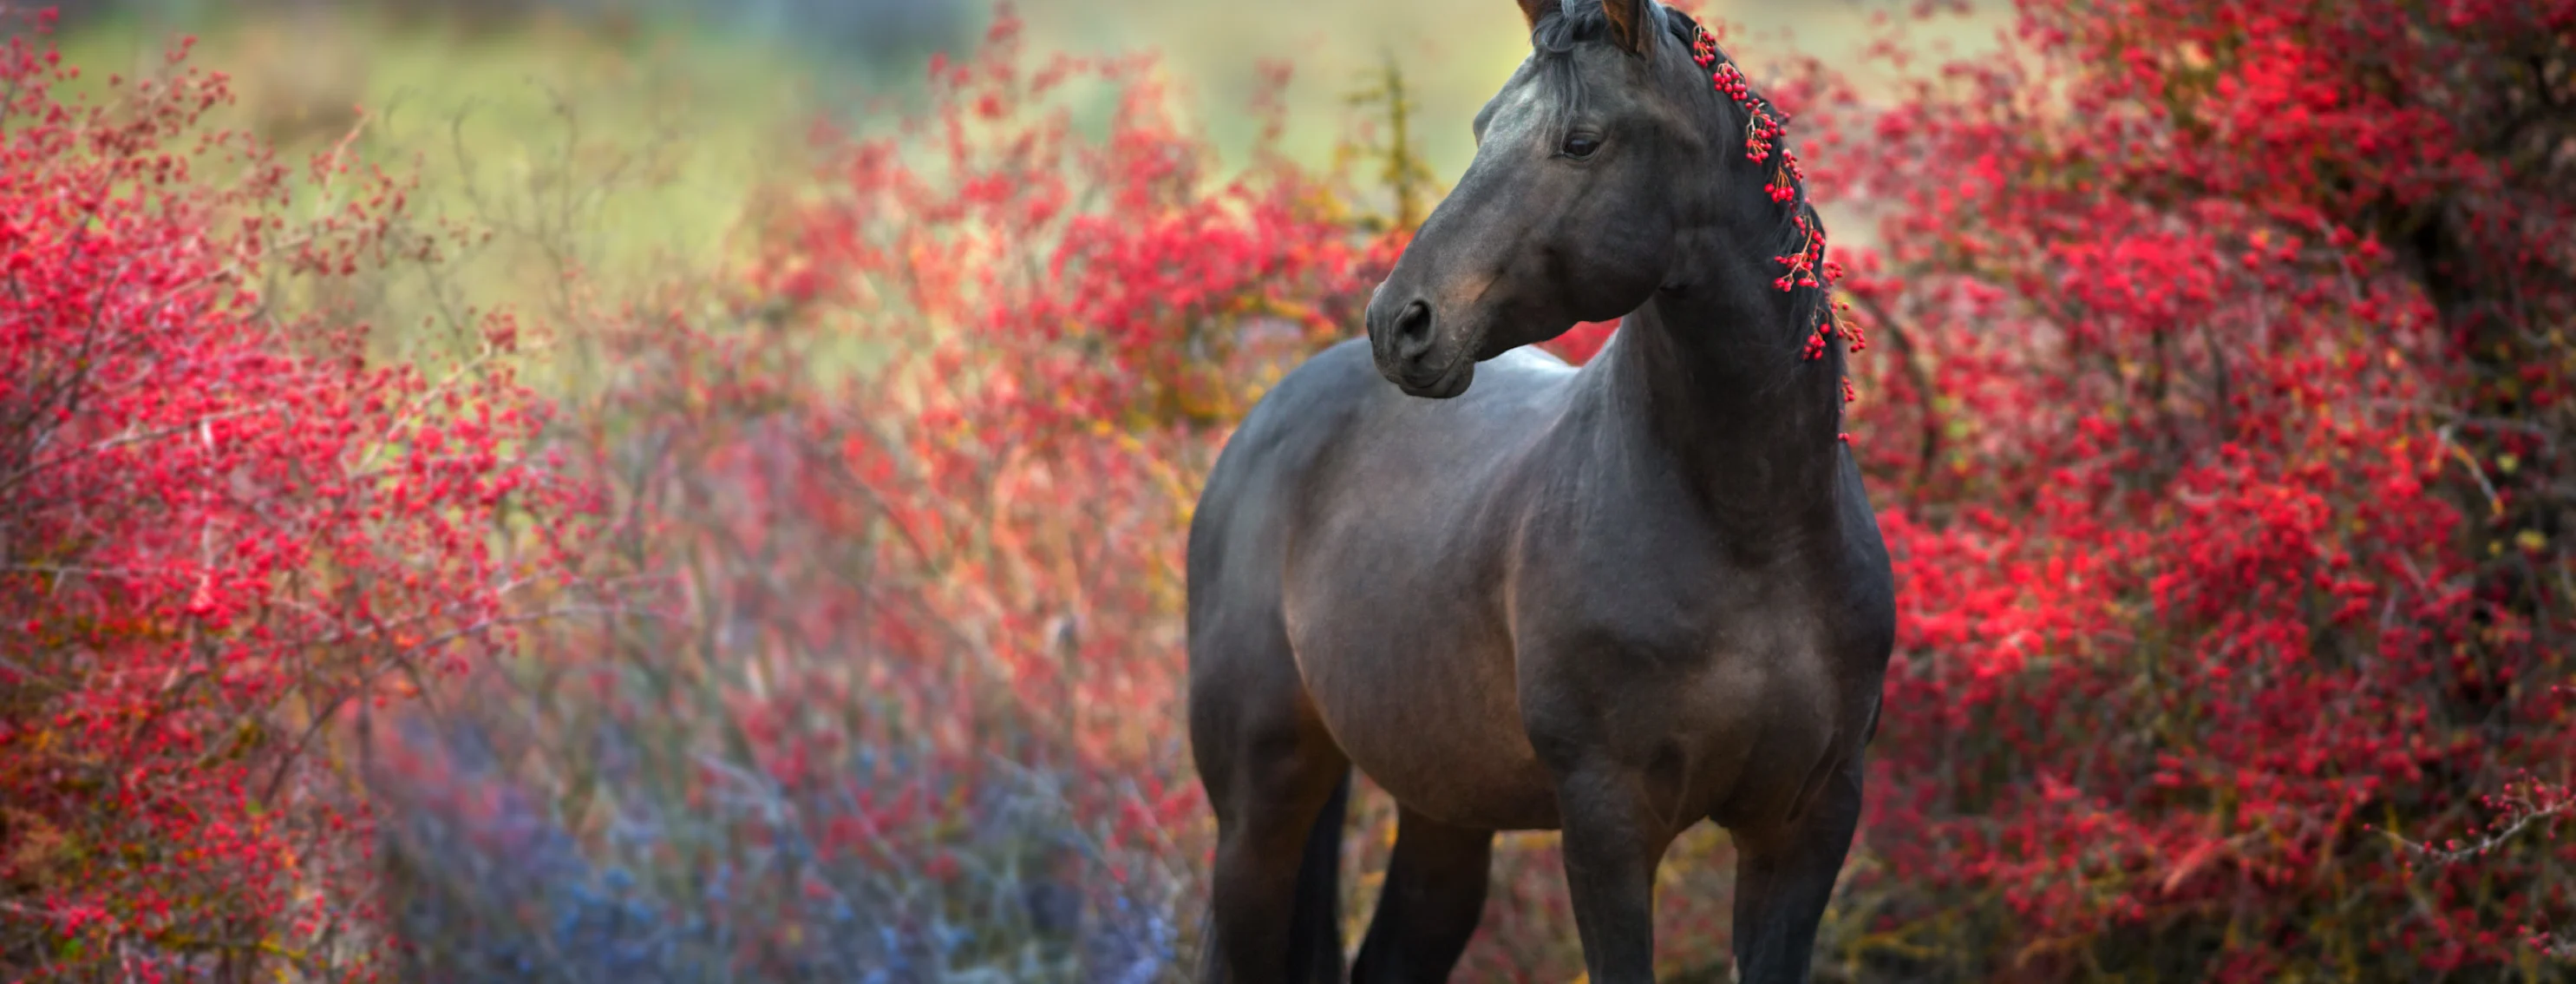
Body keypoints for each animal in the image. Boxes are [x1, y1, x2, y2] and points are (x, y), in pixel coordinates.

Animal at [1180, 2, 1895, 979]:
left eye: (1581, 140)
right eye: (1485, 126)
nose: (1402, 322)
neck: (1754, 531)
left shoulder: (1808, 825)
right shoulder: (1607, 824)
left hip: (1441, 810)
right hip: (1260, 811)